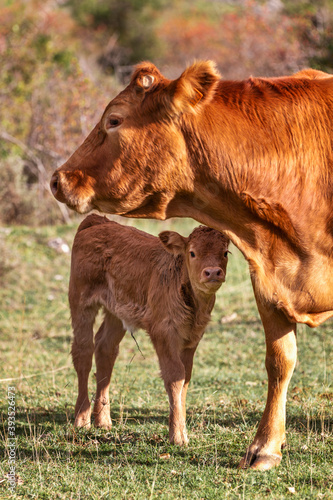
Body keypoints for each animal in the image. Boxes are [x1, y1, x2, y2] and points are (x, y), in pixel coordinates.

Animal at [67, 214, 228, 446]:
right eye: (192, 252)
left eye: (225, 253)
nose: (213, 272)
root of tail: (98, 220)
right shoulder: (163, 332)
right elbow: (175, 376)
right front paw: (177, 435)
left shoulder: (192, 338)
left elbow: (186, 378)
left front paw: (181, 428)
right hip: (81, 301)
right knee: (83, 352)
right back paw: (81, 418)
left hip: (116, 311)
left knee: (105, 349)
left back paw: (103, 420)